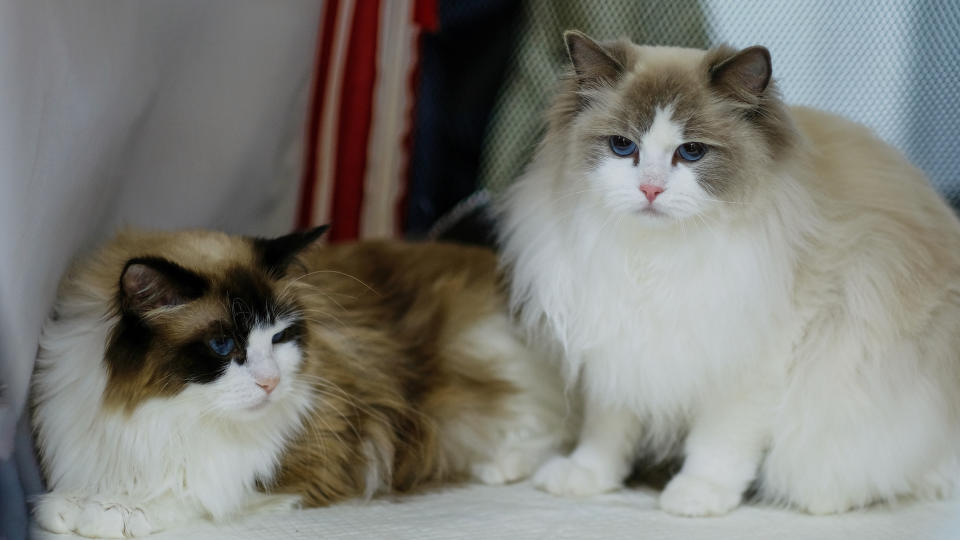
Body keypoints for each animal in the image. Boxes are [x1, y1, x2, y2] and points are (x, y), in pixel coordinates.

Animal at [31, 226, 568, 536]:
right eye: (223, 345)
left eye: (280, 336)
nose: (271, 383)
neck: (165, 413)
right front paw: (73, 505)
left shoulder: (310, 464)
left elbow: (198, 492)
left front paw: (114, 511)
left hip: (487, 358)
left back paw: (506, 467)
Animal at [498, 30, 960, 520]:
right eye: (623, 146)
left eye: (692, 152)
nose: (650, 189)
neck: (653, 260)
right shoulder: (619, 343)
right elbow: (607, 429)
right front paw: (588, 477)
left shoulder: (749, 357)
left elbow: (719, 443)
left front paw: (696, 496)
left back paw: (824, 498)